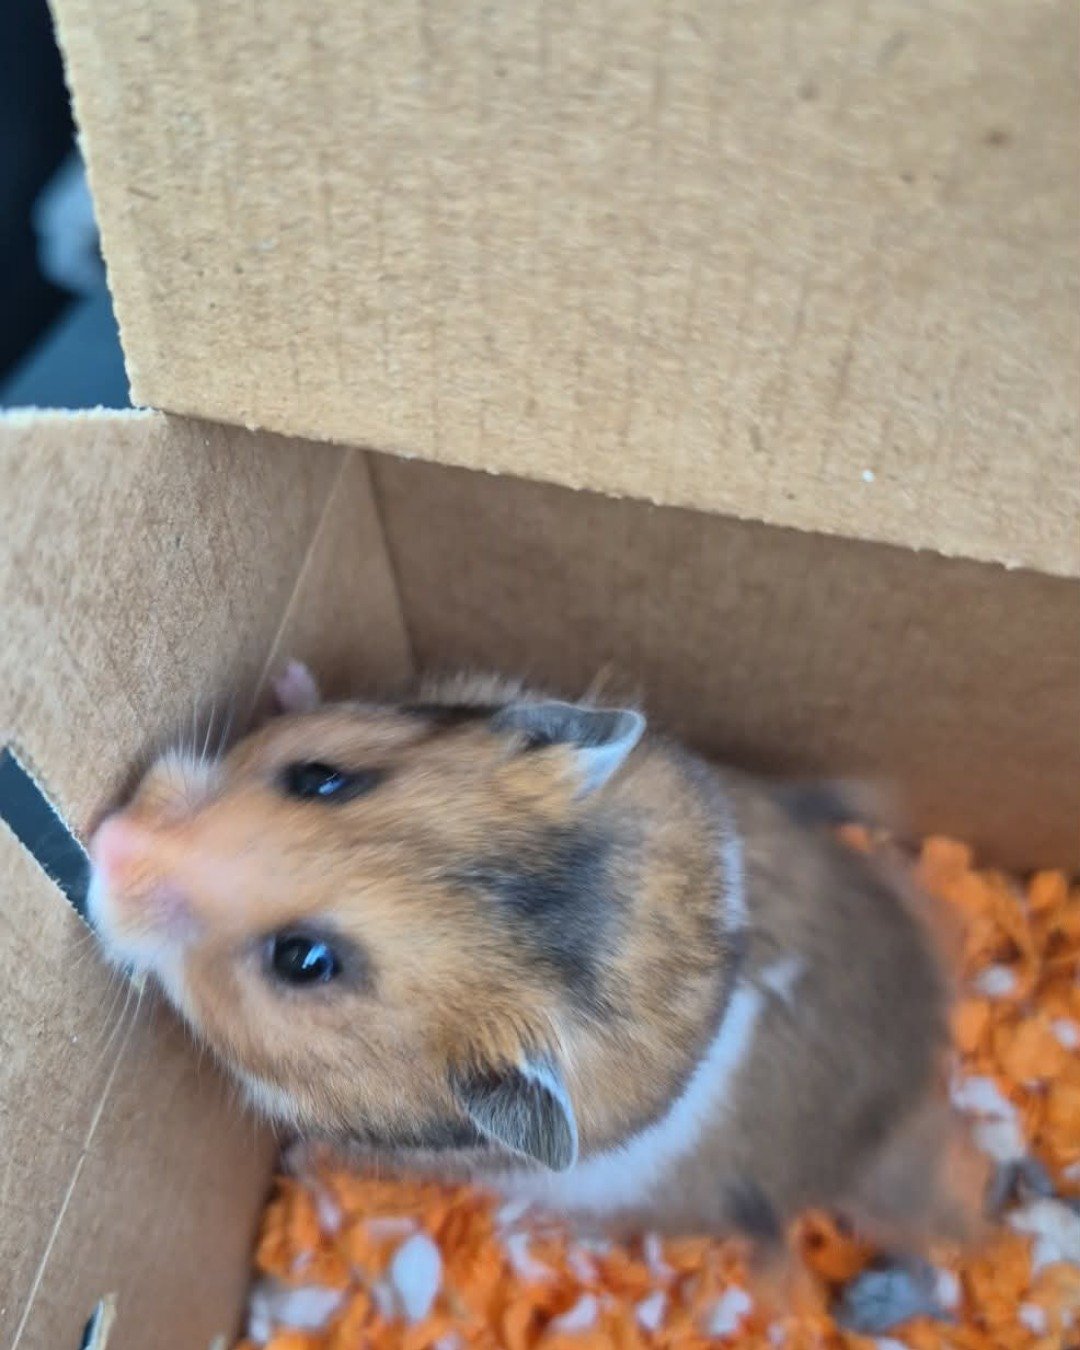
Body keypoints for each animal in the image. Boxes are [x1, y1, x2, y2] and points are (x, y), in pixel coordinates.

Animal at [87, 664, 986, 1247]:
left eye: (302, 961)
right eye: (319, 776)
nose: (108, 839)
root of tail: (914, 1083)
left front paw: (305, 1157)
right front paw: (293, 675)